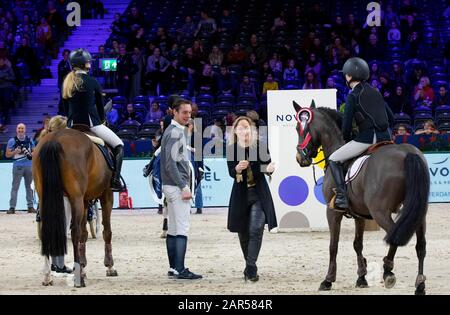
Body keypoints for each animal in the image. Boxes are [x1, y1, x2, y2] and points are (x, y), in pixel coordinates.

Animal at [33, 128, 118, 288]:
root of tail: (54, 138)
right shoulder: (107, 195)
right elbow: (106, 231)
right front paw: (110, 266)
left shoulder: (85, 201)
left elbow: (84, 234)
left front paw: (83, 267)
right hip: (76, 198)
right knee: (74, 231)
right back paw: (79, 280)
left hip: (45, 198)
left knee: (47, 231)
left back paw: (47, 277)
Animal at [294, 102, 430, 296]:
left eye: (298, 128)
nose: (300, 158)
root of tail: (408, 154)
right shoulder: (359, 215)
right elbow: (357, 244)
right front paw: (361, 278)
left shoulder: (332, 212)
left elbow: (333, 246)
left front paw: (327, 280)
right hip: (418, 212)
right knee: (421, 246)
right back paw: (419, 285)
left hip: (380, 212)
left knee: (394, 236)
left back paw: (388, 271)